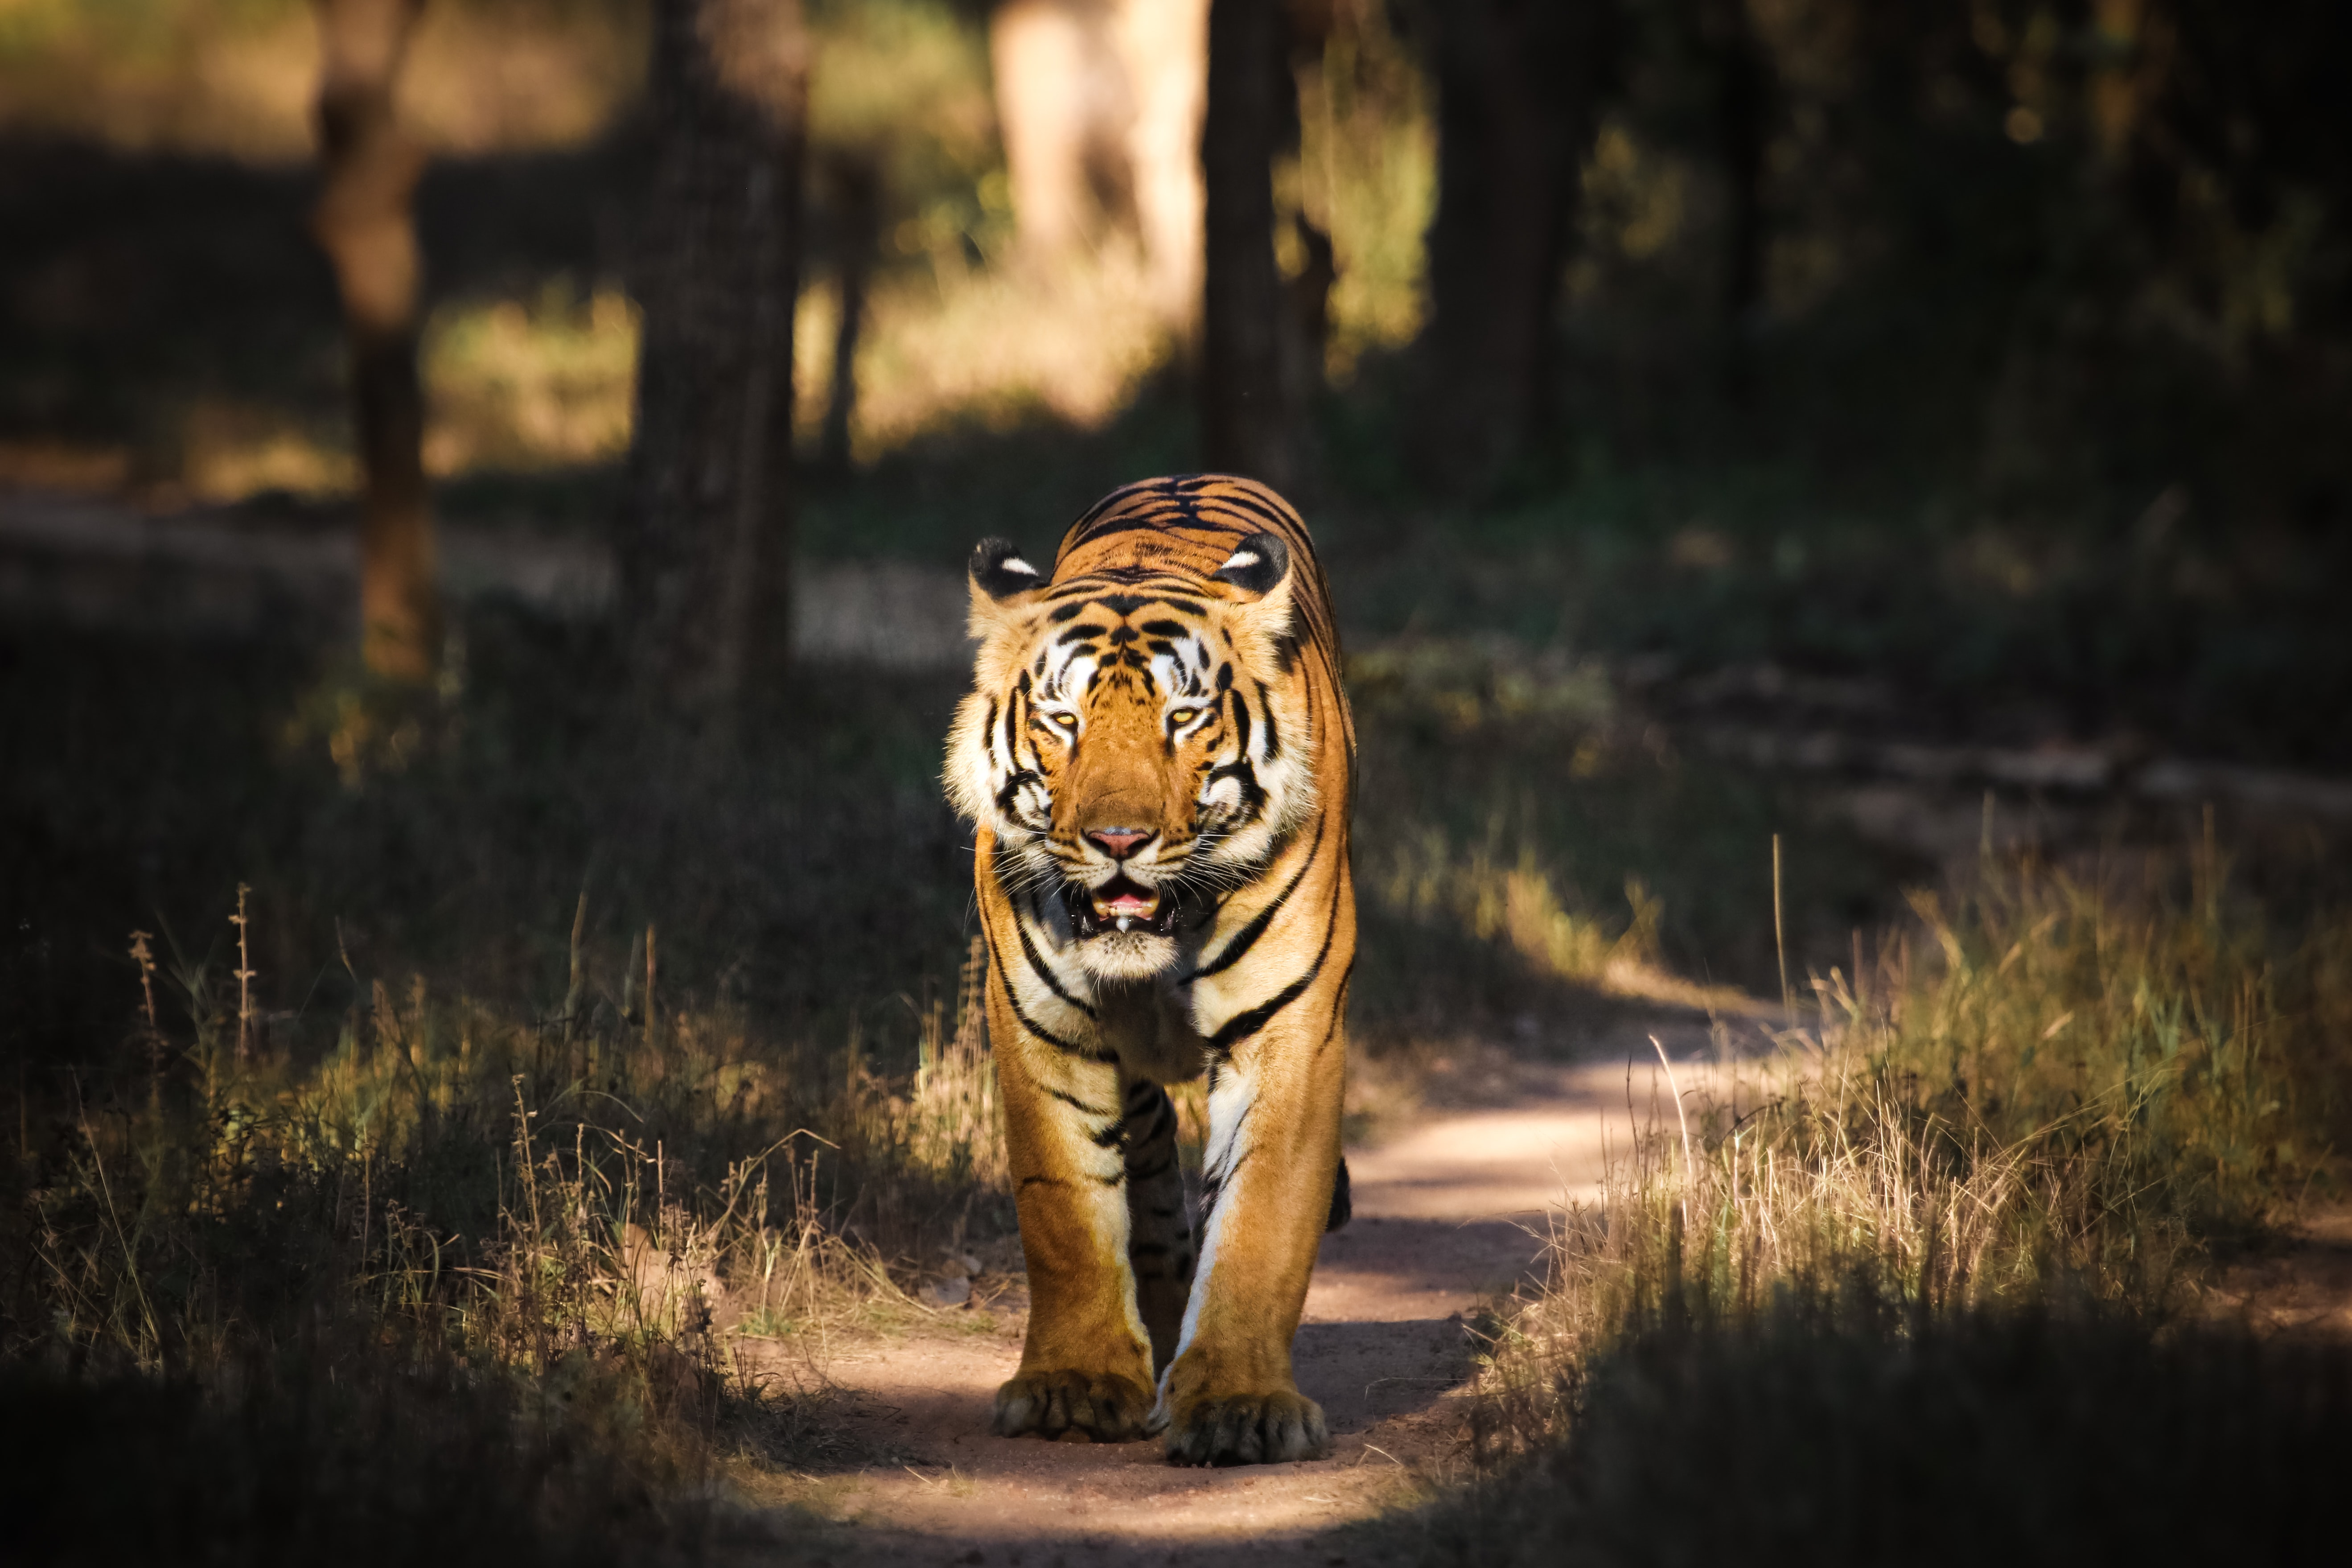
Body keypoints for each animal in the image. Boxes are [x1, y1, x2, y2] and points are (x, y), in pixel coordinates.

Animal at [936, 472, 1354, 1467]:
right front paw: (1075, 1384)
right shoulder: (1039, 1026)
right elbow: (1063, 1212)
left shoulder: (1289, 1031)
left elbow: (1262, 1220)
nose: (1119, 840)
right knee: (1150, 1162)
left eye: (1182, 718)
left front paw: (1240, 1405)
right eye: (1063, 721)